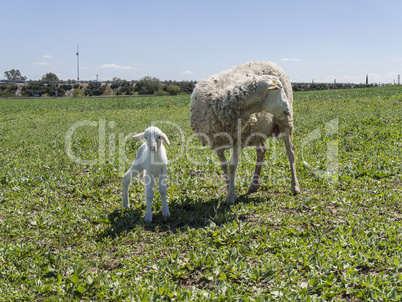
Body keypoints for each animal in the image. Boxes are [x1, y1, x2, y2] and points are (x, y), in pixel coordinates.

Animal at [190, 60, 300, 205]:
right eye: (278, 90)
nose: (287, 110)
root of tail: (270, 62)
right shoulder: (217, 142)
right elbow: (224, 166)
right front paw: (230, 190)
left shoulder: (239, 139)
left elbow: (232, 165)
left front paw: (230, 197)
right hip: (257, 129)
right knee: (261, 151)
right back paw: (254, 185)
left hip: (284, 123)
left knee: (290, 152)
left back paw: (295, 187)